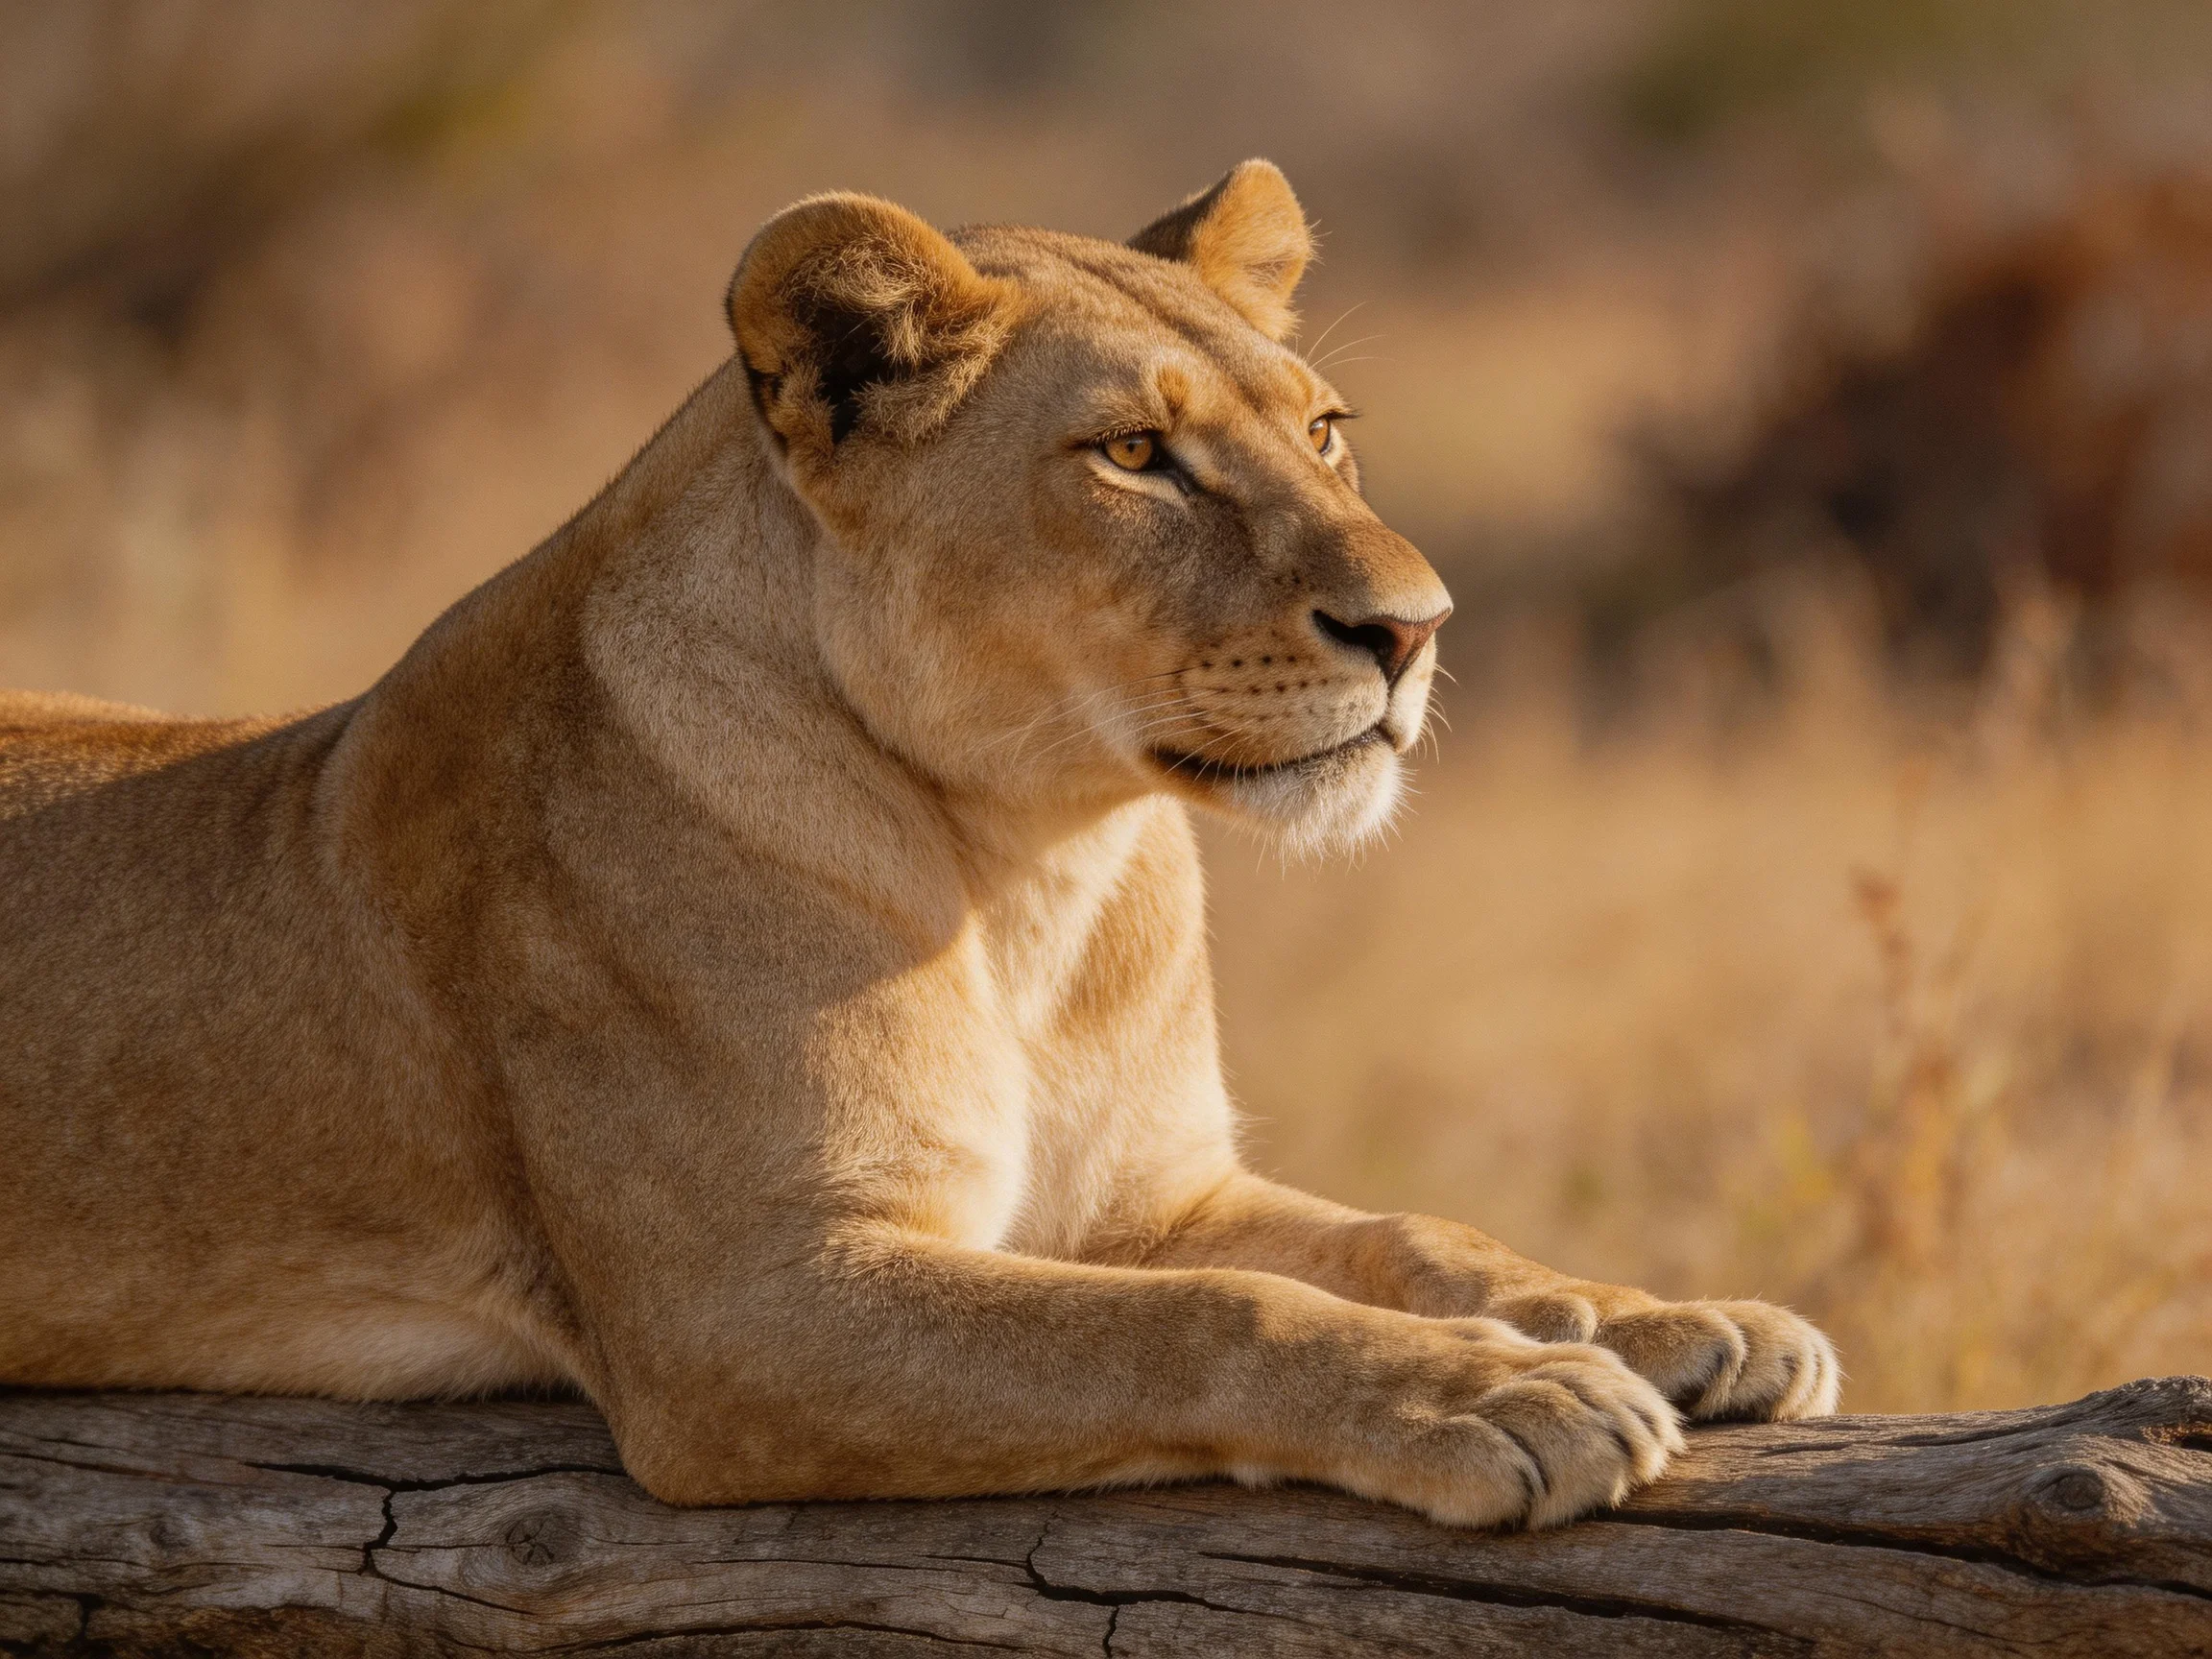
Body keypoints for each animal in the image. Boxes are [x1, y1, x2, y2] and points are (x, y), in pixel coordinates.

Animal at [0, 161, 1837, 1528]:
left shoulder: (1148, 1193)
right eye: (1133, 454)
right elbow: (1211, 1313)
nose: (1416, 628)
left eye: (1324, 430)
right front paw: (1508, 1390)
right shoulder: (751, 1307)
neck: (1033, 864)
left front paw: (1676, 1319)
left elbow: (1409, 1237)